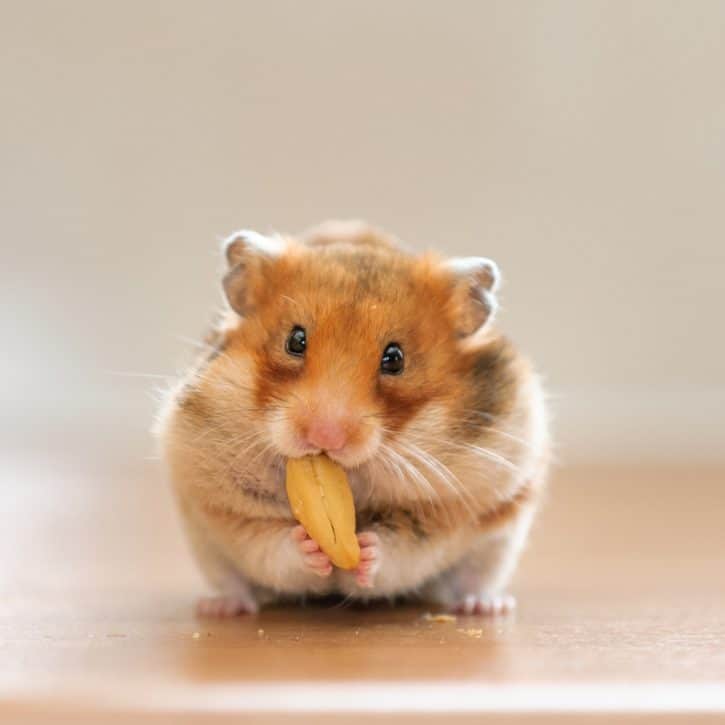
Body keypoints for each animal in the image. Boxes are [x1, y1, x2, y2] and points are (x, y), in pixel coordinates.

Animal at [156, 220, 549, 617]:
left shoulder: (451, 508)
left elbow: (403, 547)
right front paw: (308, 545)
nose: (324, 438)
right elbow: (269, 543)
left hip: (499, 542)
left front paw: (366, 551)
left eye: (395, 359)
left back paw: (486, 606)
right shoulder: (221, 503)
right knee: (233, 581)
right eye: (295, 341)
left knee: (472, 579)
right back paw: (221, 607)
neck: (354, 479)